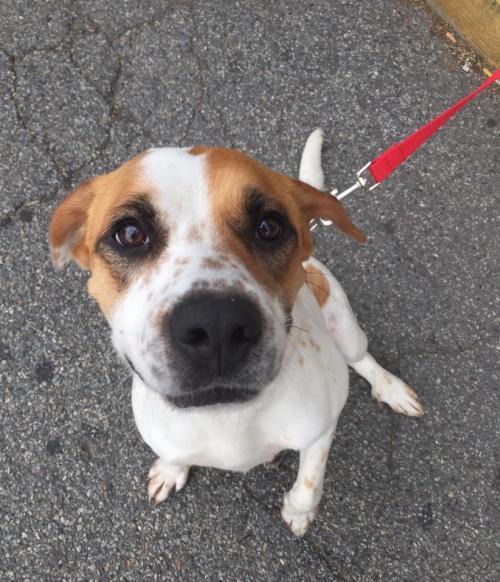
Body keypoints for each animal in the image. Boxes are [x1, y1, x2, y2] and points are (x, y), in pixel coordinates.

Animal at [49, 129, 422, 540]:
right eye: (129, 233)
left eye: (269, 226)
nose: (217, 324)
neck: (227, 419)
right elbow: (172, 452)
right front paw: (170, 470)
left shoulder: (322, 430)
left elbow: (309, 484)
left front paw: (298, 511)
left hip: (346, 327)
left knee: (362, 358)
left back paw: (391, 388)